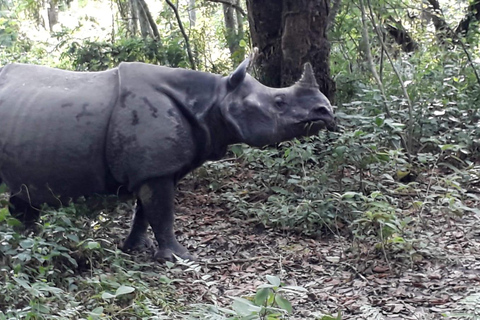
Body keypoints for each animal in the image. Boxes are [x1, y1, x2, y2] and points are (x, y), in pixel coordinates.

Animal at [0, 52, 336, 262]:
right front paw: (180, 258)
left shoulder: (156, 167)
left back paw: (29, 240)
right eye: (279, 102)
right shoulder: (156, 168)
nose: (326, 111)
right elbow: (162, 212)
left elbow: (145, 211)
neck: (215, 98)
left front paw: (136, 248)